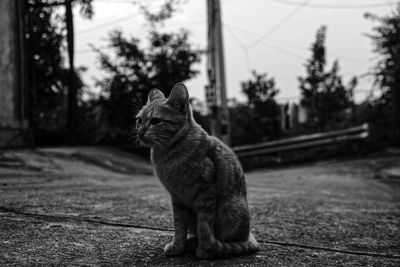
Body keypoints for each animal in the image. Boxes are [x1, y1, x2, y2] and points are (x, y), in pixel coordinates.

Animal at [136, 83, 260, 260]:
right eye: (139, 120)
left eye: (155, 121)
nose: (139, 133)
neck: (167, 154)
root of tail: (250, 237)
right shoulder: (177, 198)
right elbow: (179, 227)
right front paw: (178, 246)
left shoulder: (206, 194)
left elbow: (204, 227)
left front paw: (206, 249)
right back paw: (191, 243)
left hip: (230, 209)